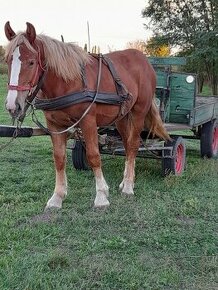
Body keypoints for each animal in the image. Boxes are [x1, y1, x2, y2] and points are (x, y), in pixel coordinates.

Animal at [4, 22, 169, 208]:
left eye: (31, 62)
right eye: (7, 60)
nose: (13, 105)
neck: (68, 82)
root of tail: (144, 60)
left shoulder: (88, 121)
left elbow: (93, 155)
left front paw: (101, 196)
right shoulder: (54, 125)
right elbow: (59, 158)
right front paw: (57, 197)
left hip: (138, 113)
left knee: (133, 145)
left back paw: (128, 187)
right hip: (121, 118)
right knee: (127, 145)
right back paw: (127, 180)